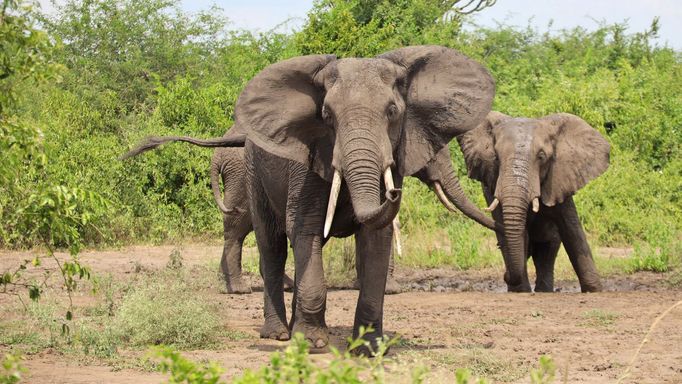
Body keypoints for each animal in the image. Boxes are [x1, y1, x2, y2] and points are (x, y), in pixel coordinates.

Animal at [123, 45, 494, 354]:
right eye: (326, 115)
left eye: (392, 111)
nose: (394, 192)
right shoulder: (307, 168)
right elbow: (303, 230)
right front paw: (313, 343)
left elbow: (375, 240)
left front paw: (368, 347)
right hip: (252, 173)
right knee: (269, 245)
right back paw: (276, 331)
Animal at [456, 112, 612, 292]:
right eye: (496, 158)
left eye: (541, 157)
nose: (505, 276)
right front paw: (521, 291)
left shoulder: (558, 179)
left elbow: (572, 231)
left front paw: (594, 290)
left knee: (548, 248)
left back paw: (543, 290)